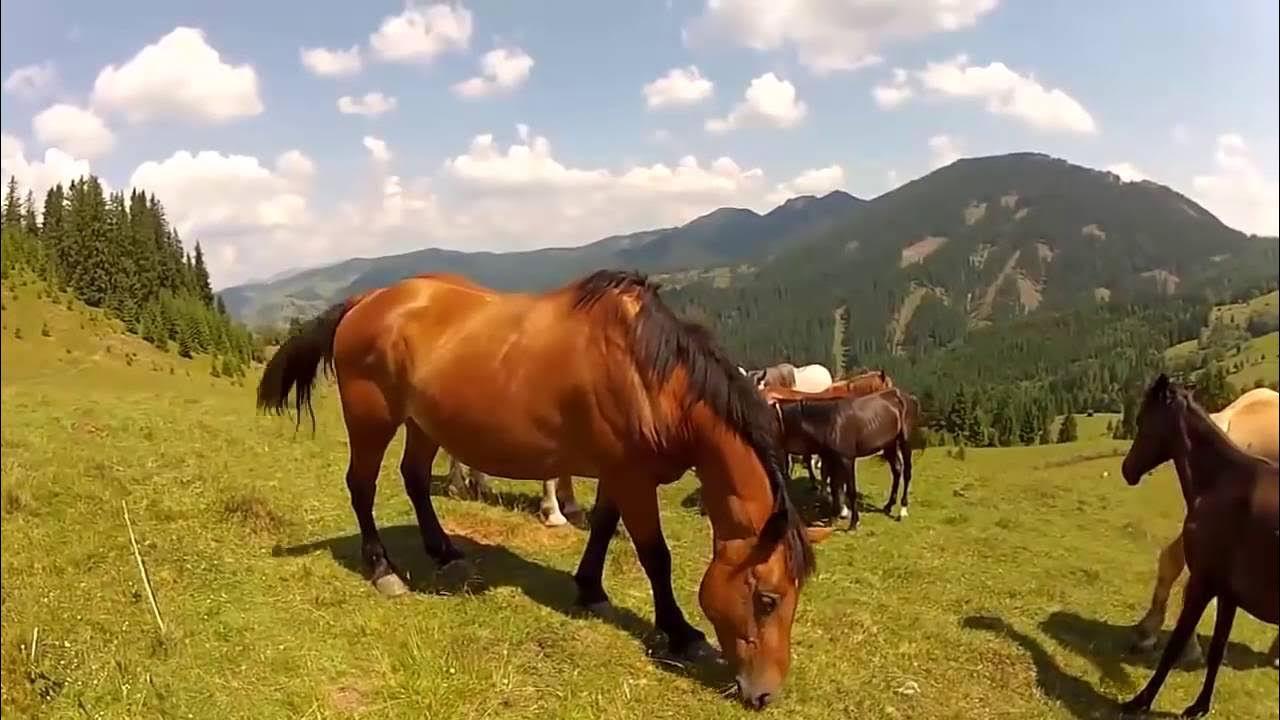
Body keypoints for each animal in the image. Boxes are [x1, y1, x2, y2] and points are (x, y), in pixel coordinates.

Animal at [255, 269, 832, 708]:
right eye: (767, 599)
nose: (765, 693)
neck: (649, 375)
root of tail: (366, 300)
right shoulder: (632, 478)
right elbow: (655, 555)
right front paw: (679, 631)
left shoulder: (618, 473)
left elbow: (602, 528)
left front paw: (590, 589)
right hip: (372, 417)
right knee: (362, 486)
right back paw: (383, 570)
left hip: (424, 423)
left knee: (414, 479)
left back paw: (444, 552)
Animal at [771, 387, 920, 530]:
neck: (830, 422)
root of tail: (907, 397)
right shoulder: (831, 459)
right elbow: (834, 487)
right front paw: (834, 517)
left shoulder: (846, 459)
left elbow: (849, 490)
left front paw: (853, 522)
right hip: (889, 444)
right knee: (897, 470)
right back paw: (888, 506)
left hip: (905, 442)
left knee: (907, 473)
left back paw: (903, 510)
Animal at [1118, 375, 1278, 718]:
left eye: (1142, 420)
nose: (1128, 469)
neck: (1225, 480)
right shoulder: (1225, 591)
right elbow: (1215, 648)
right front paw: (1197, 705)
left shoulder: (1209, 584)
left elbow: (1178, 645)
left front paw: (1142, 700)